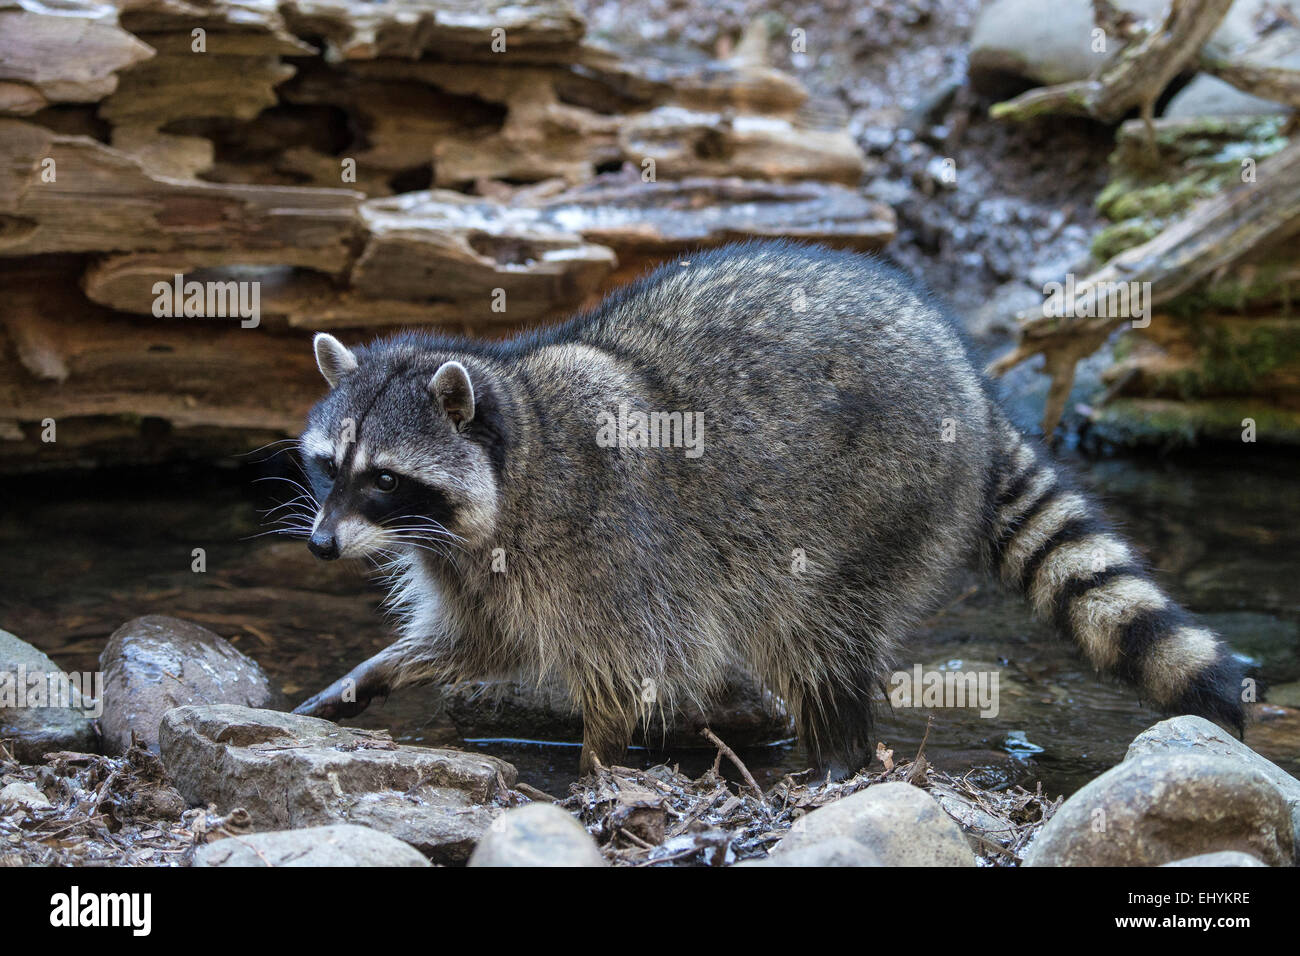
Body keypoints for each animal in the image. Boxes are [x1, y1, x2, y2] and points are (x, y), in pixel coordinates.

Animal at [289, 243, 1242, 775]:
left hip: (879, 506)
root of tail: (973, 388)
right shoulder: (476, 572)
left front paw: (597, 764)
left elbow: (627, 669)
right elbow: (474, 642)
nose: (322, 545)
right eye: (329, 466)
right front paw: (374, 672)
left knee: (815, 640)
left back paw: (837, 761)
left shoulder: (604, 548)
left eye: (384, 479)